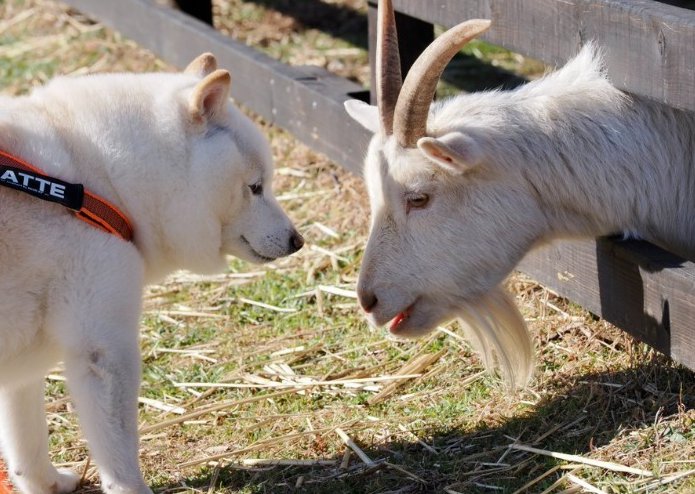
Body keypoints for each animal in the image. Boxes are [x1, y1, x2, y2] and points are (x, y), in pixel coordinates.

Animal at [0, 54, 304, 494]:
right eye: (256, 187)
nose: (297, 240)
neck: (98, 179)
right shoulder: (103, 349)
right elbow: (119, 453)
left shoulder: (24, 361)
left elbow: (27, 442)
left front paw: (47, 483)